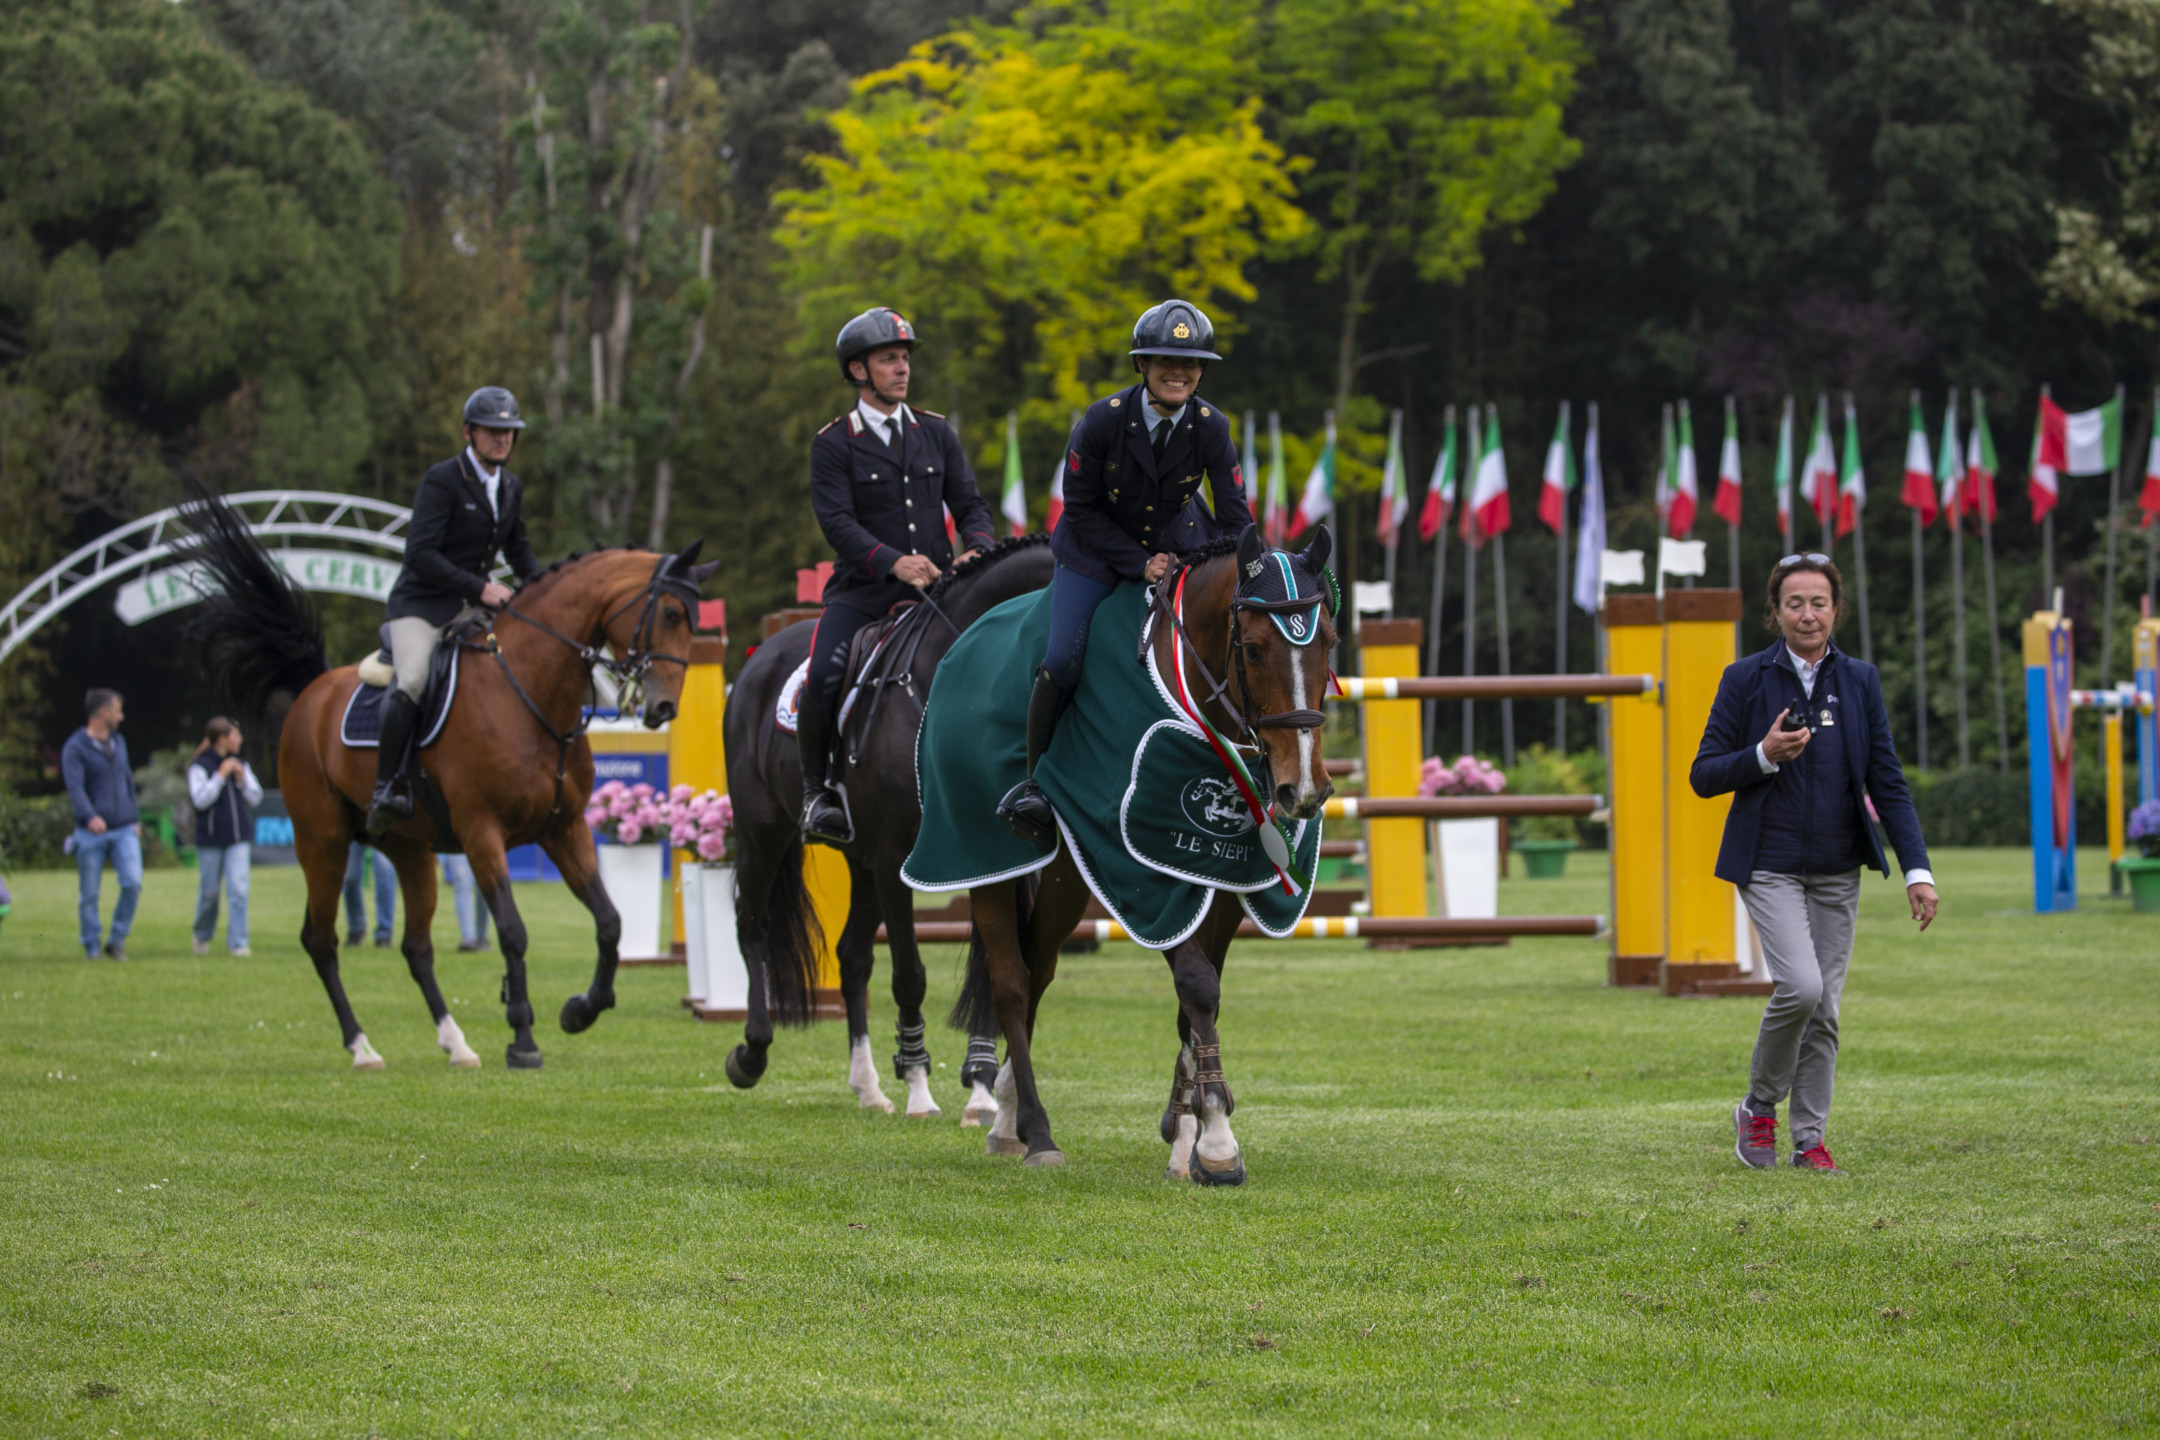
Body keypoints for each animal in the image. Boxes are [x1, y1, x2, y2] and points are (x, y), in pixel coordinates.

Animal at [176, 483, 712, 1070]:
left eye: (692, 618)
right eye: (669, 612)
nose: (663, 707)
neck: (529, 690)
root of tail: (312, 692)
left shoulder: (563, 828)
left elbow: (610, 922)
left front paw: (580, 1010)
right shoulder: (483, 833)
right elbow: (512, 931)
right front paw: (523, 1038)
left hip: (410, 851)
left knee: (416, 948)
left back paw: (457, 1043)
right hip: (323, 841)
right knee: (320, 941)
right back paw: (362, 1046)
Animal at [721, 535, 1058, 1122]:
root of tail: (760, 654)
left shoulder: (994, 862)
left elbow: (996, 967)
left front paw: (982, 1087)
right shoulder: (898, 857)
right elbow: (911, 974)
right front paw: (921, 1086)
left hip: (861, 863)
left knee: (853, 957)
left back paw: (869, 1085)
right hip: (764, 832)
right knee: (753, 927)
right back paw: (752, 1053)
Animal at [907, 526, 1330, 1183]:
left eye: (1329, 641)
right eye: (1256, 649)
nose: (1302, 789)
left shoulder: (1225, 877)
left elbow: (1196, 1000)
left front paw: (1185, 1135)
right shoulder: (1140, 874)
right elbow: (1198, 986)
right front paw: (1216, 1140)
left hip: (1065, 874)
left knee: (1038, 968)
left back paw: (1007, 1114)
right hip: (983, 856)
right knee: (1010, 981)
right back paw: (1035, 1131)